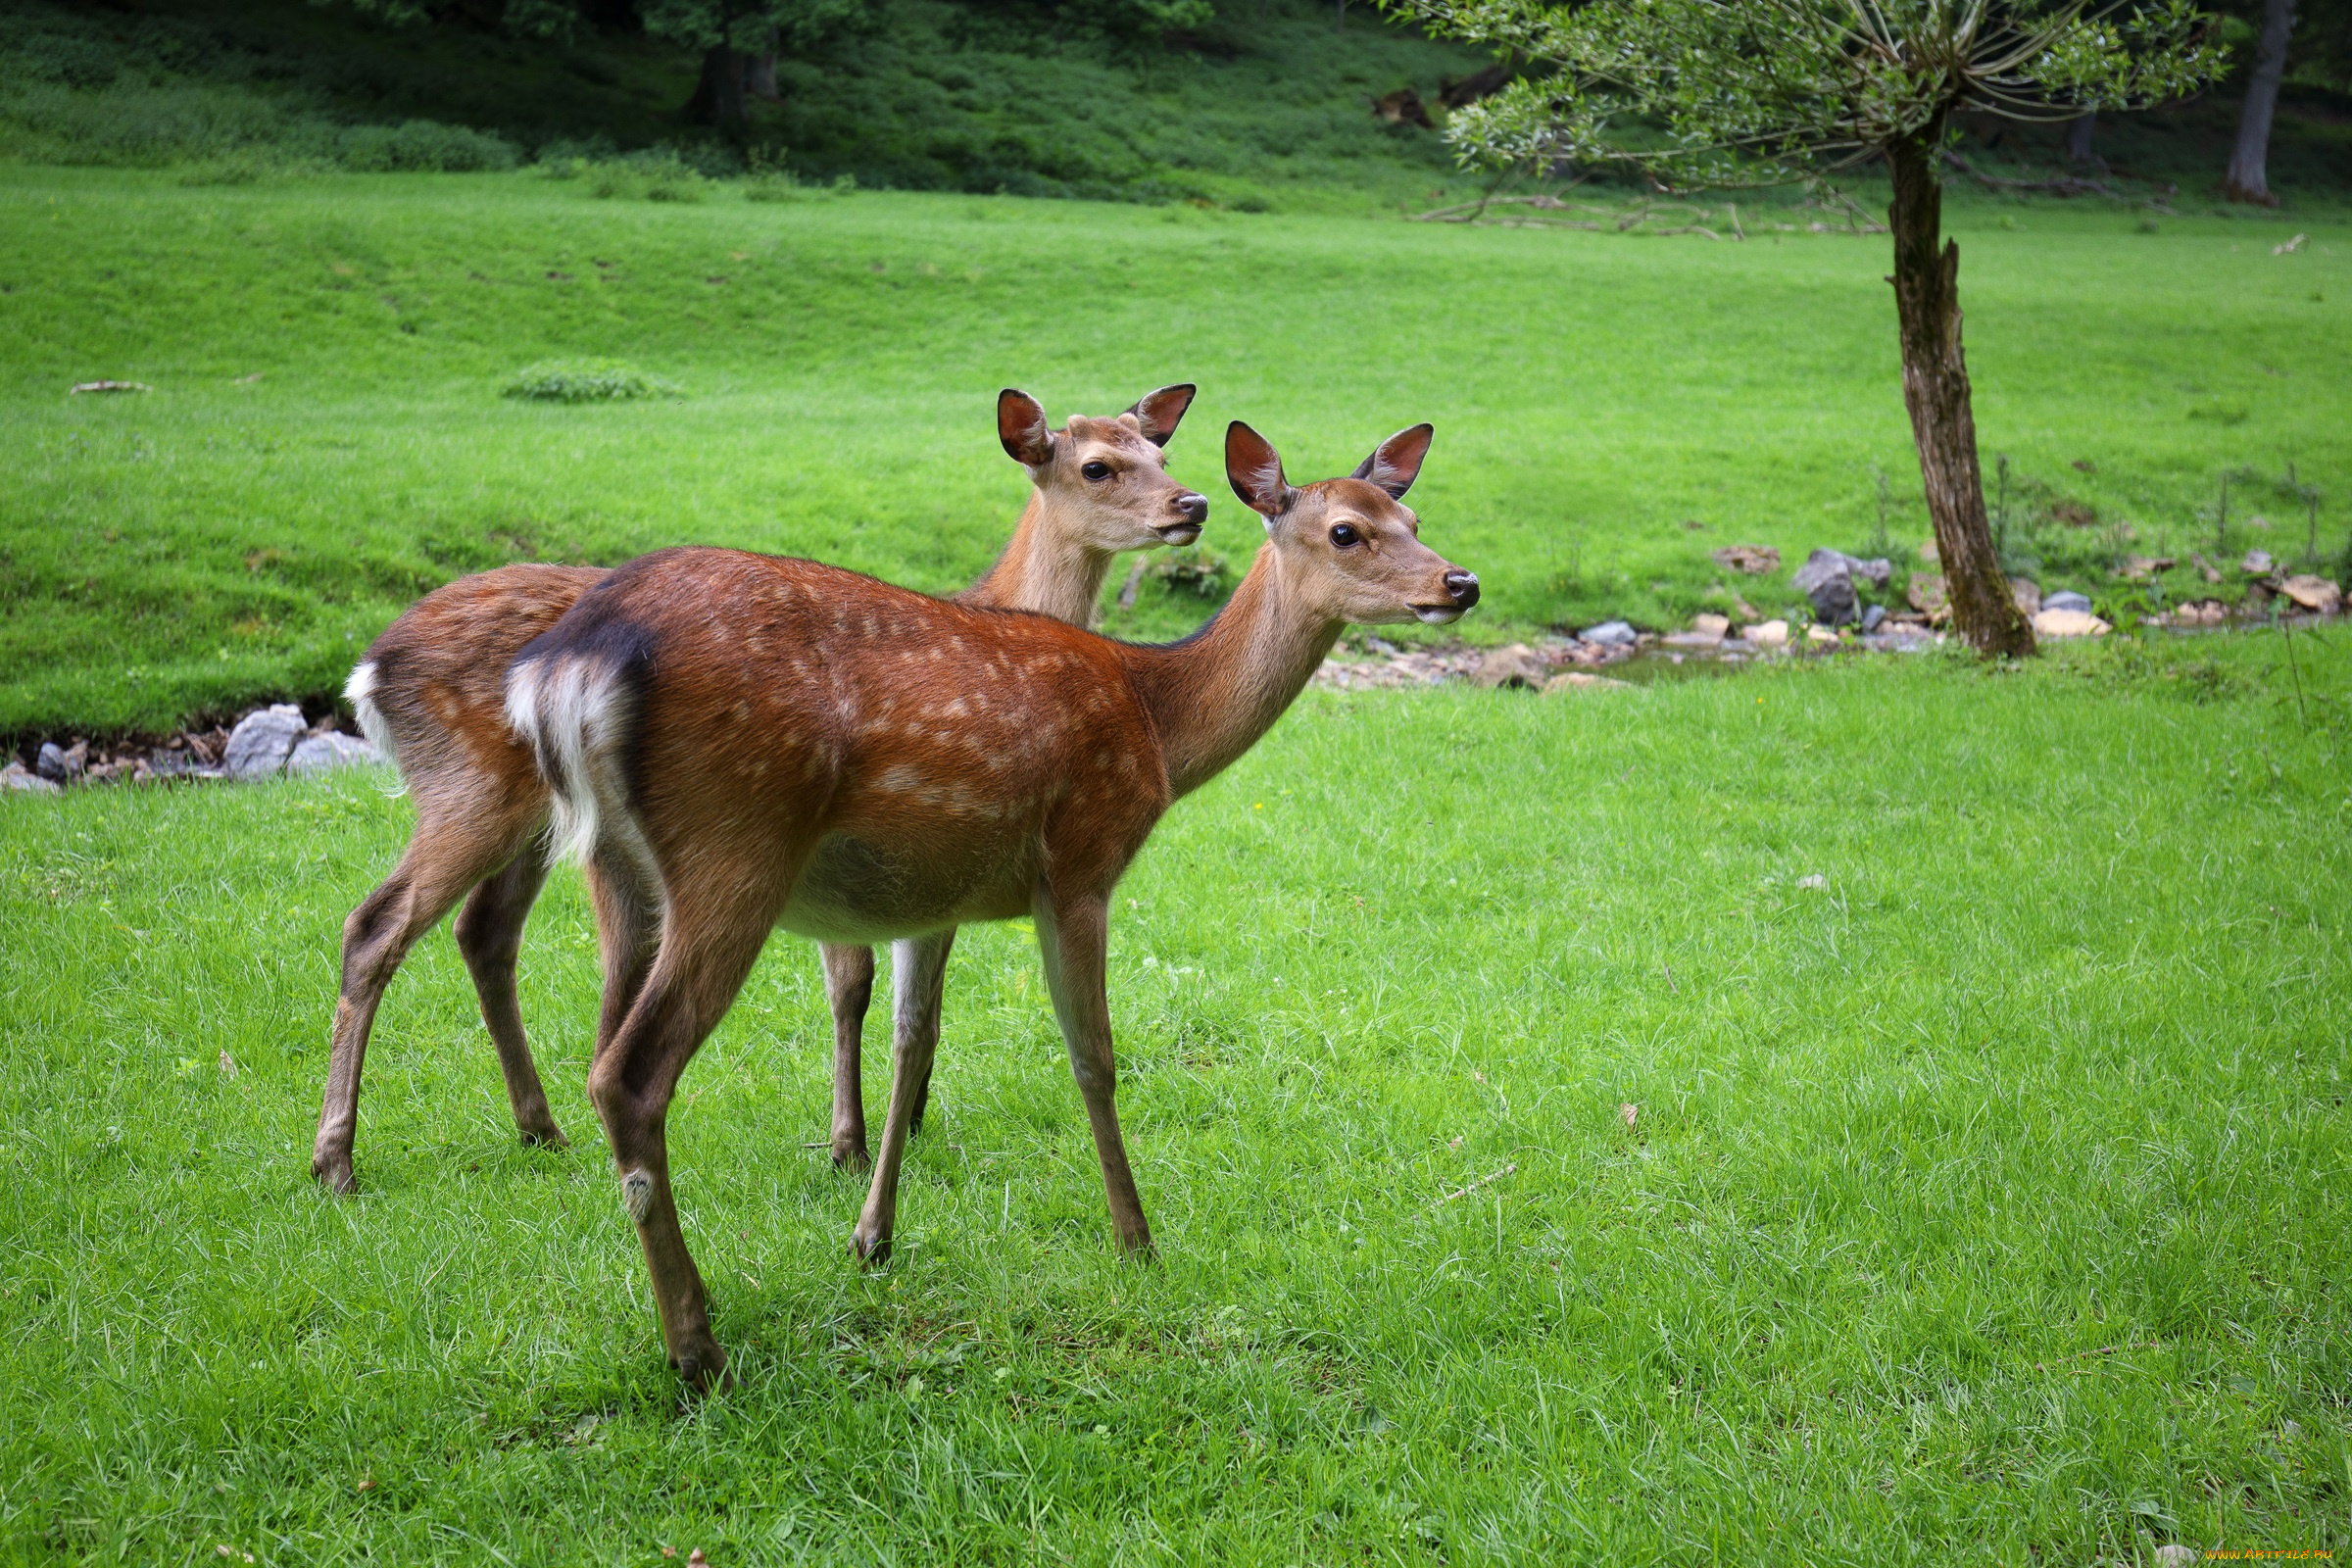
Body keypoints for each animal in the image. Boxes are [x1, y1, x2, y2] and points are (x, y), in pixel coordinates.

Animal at [313, 385, 1203, 1194]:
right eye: (1096, 466)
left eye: (1159, 454)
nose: (1190, 504)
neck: (996, 610)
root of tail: (369, 673)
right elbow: (853, 986)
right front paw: (852, 1142)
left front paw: (904, 1123)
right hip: (476, 792)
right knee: (378, 924)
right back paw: (339, 1160)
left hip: (537, 825)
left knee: (486, 932)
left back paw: (541, 1129)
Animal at [508, 420, 1477, 1382]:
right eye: (1346, 531)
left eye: (1414, 516)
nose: (1458, 582)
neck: (1157, 723)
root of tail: (565, 665)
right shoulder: (1081, 865)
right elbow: (1094, 1059)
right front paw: (1137, 1242)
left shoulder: (932, 895)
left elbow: (912, 1039)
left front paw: (872, 1235)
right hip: (733, 848)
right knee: (631, 1074)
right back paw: (696, 1343)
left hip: (618, 866)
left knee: (601, 1045)